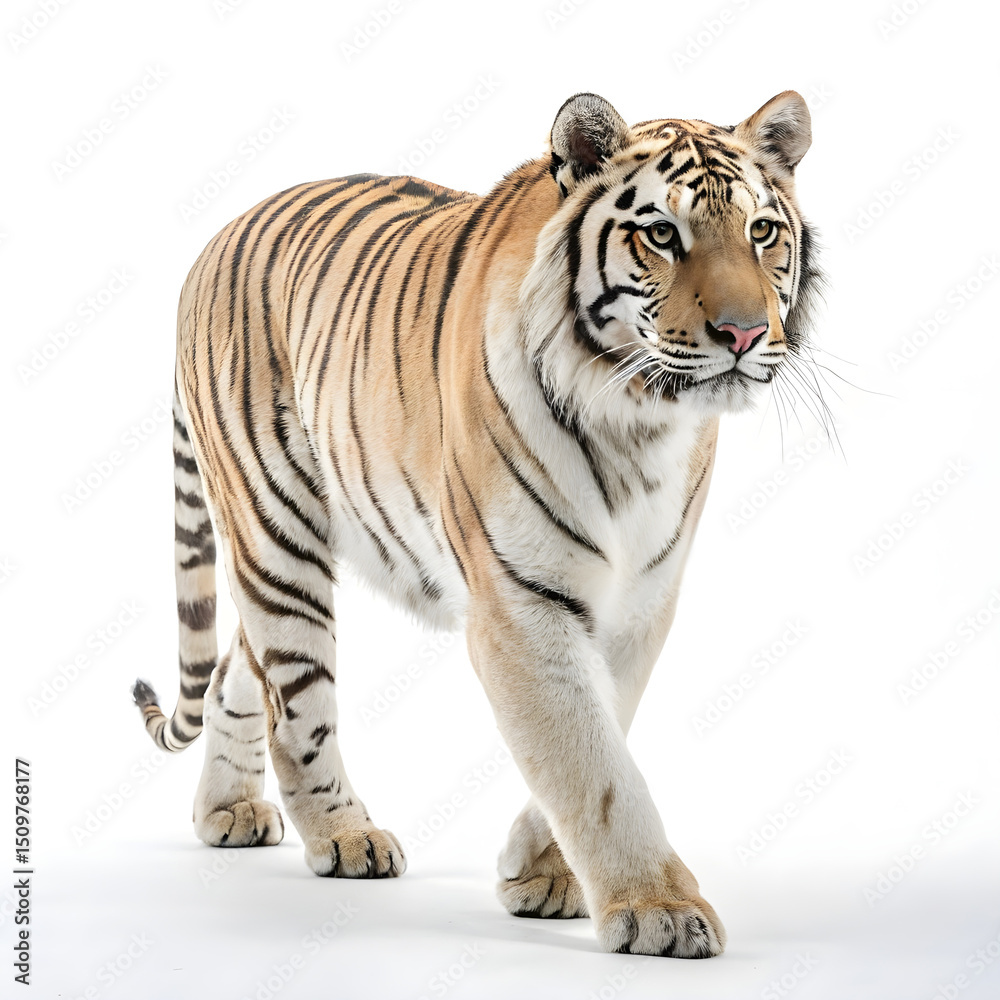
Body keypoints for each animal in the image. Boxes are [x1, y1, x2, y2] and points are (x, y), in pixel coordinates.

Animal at [133, 90, 821, 959]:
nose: (744, 335)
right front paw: (658, 909)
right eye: (663, 234)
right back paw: (345, 836)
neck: (642, 425)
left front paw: (545, 873)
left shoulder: (640, 603)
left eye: (761, 231)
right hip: (274, 530)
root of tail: (212, 242)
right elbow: (590, 762)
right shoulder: (521, 602)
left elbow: (604, 729)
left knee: (236, 665)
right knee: (295, 698)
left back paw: (226, 811)